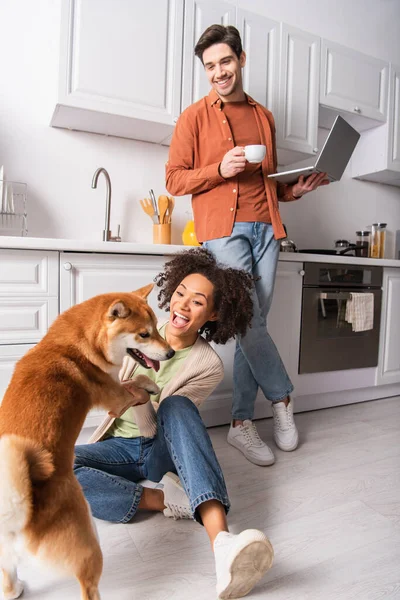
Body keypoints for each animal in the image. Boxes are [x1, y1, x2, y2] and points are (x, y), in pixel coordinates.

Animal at [0, 284, 173, 600]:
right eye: (144, 334)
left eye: (157, 328)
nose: (170, 352)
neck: (81, 342)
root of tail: (19, 509)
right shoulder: (116, 397)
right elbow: (137, 381)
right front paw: (153, 385)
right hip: (88, 540)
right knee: (88, 587)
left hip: (7, 552)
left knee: (8, 578)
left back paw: (16, 588)